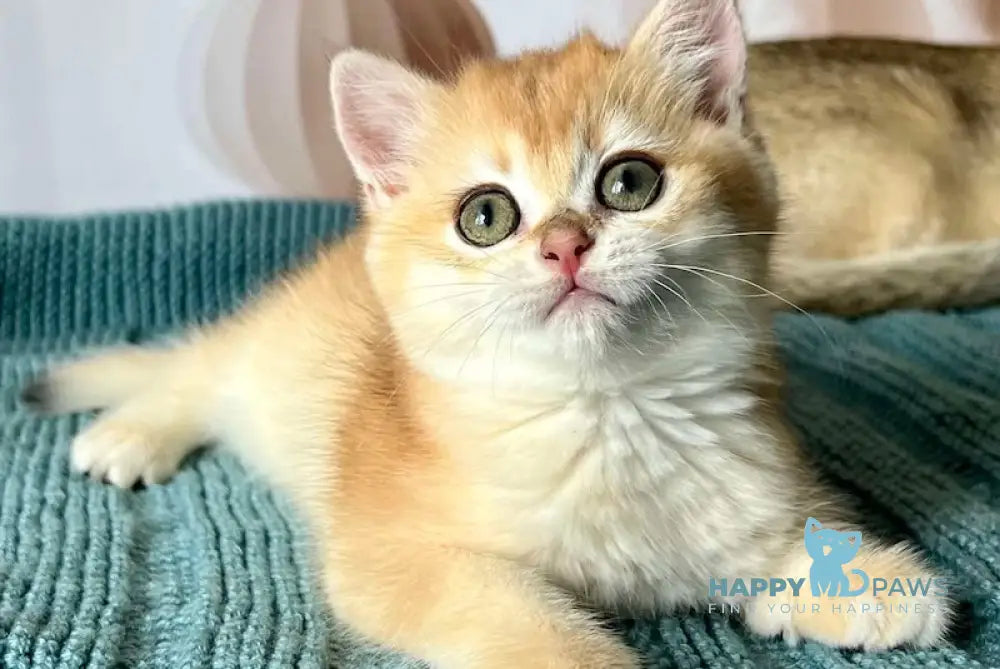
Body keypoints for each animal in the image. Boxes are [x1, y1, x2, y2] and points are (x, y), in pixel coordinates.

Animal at [21, 2, 952, 664]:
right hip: (264, 357)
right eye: (487, 215)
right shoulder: (396, 554)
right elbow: (530, 623)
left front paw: (862, 579)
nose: (565, 243)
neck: (606, 408)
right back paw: (134, 431)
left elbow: (768, 535)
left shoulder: (748, 472)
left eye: (630, 182)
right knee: (199, 372)